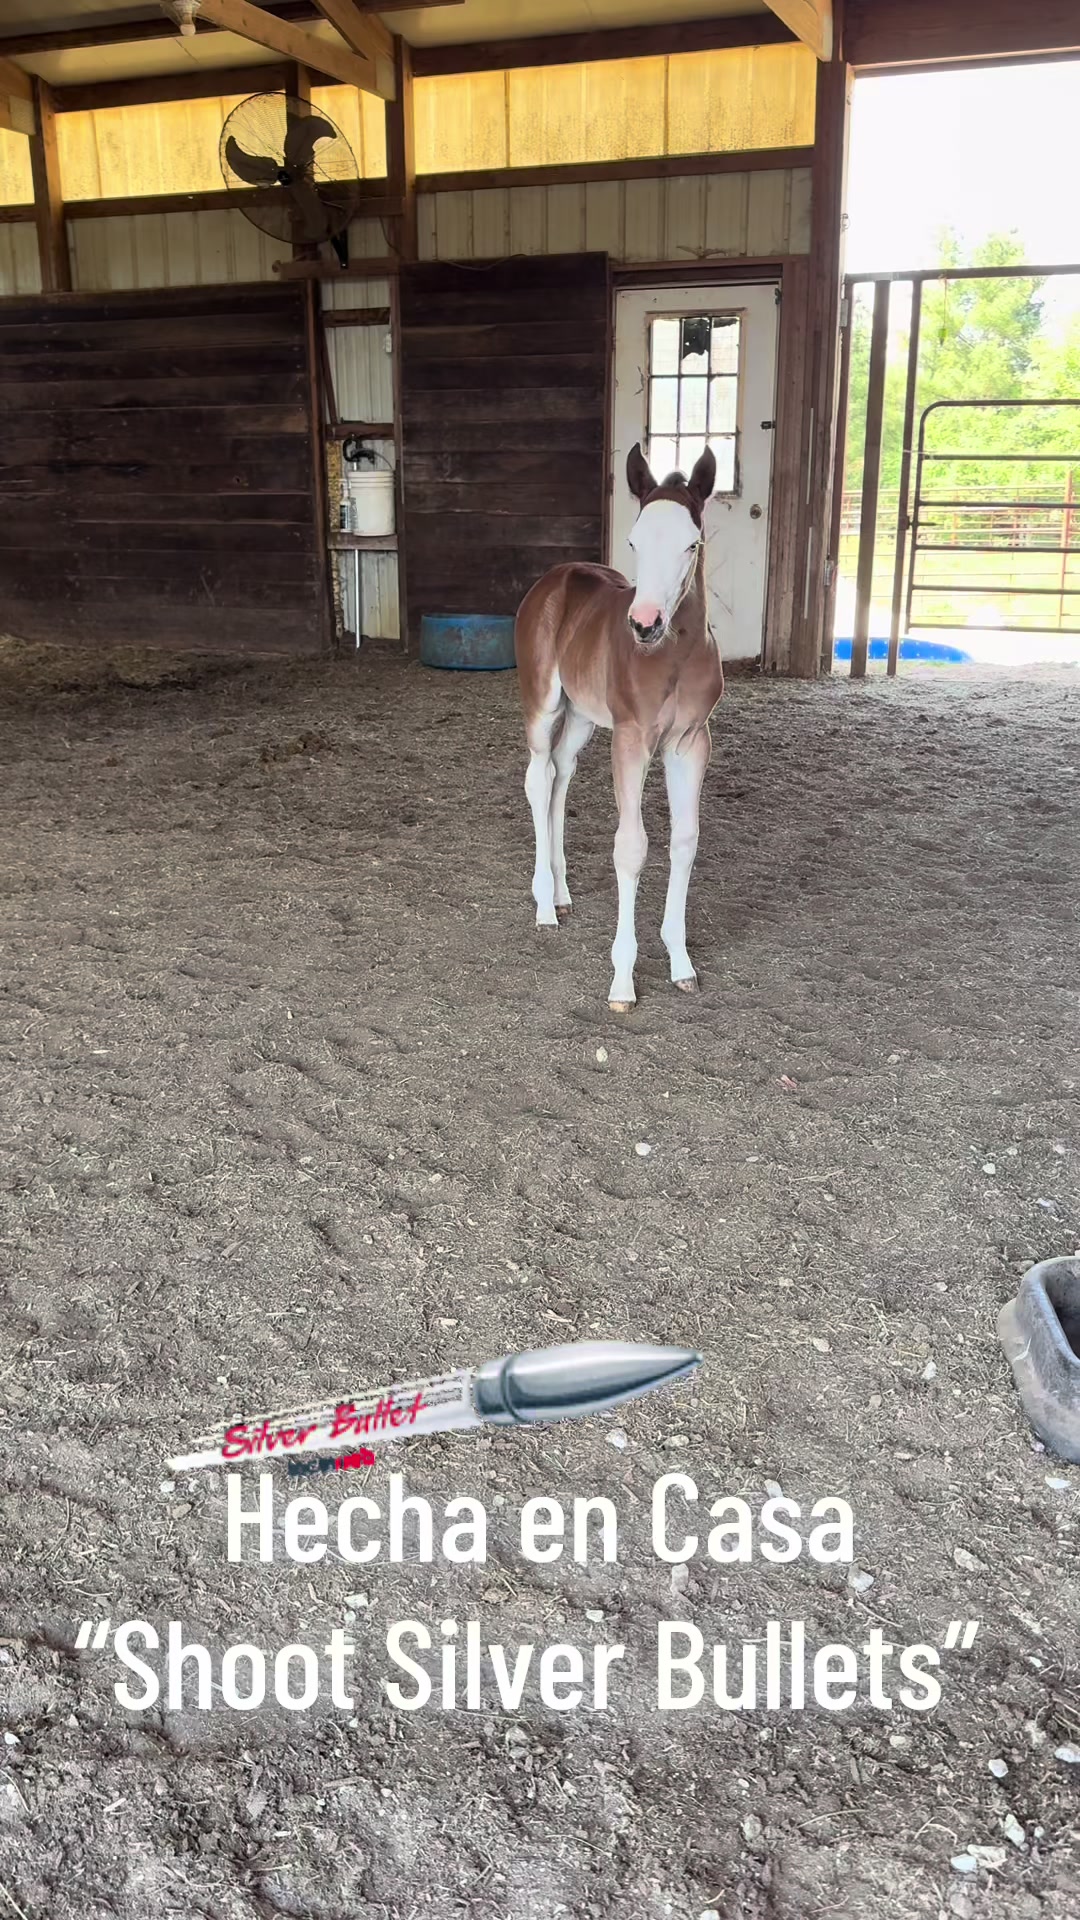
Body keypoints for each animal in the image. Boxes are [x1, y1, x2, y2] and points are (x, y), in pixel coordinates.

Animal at [514, 442, 723, 1012]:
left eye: (691, 543)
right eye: (633, 540)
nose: (645, 623)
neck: (672, 658)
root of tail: (556, 577)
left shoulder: (691, 743)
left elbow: (685, 839)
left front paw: (681, 962)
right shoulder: (632, 738)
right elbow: (631, 848)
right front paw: (623, 982)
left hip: (583, 717)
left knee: (561, 775)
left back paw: (562, 894)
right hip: (544, 704)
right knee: (538, 778)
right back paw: (544, 906)